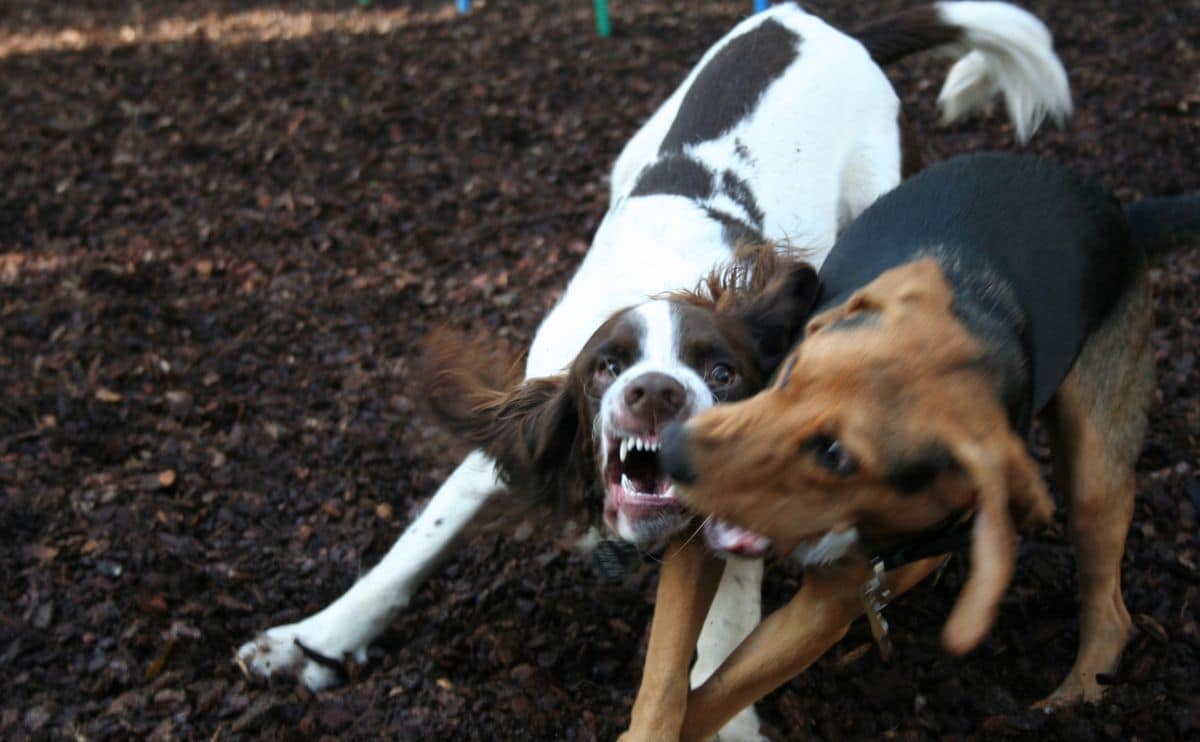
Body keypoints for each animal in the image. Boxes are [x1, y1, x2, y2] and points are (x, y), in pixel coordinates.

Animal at [234, 4, 1070, 734]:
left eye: (723, 372)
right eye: (608, 367)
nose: (657, 394)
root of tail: (825, 26)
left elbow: (724, 637)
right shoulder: (518, 433)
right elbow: (408, 552)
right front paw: (309, 642)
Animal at [648, 151, 1171, 734]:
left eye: (836, 455)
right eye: (791, 371)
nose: (671, 450)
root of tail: (1106, 202)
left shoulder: (830, 603)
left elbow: (719, 695)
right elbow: (666, 683)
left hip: (1093, 471)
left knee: (1111, 607)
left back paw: (1072, 697)